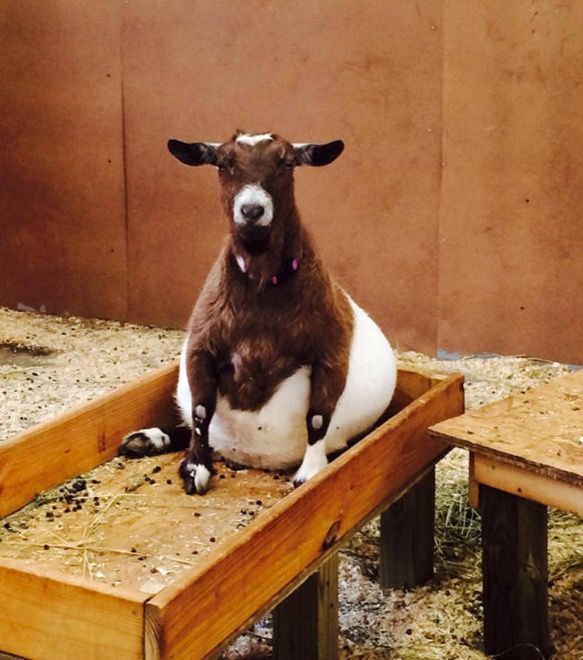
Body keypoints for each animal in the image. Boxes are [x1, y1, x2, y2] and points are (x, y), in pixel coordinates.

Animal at [121, 131, 400, 496]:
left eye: (287, 163)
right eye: (223, 164)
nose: (252, 210)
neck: (261, 289)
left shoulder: (331, 350)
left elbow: (318, 418)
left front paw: (310, 474)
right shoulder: (201, 345)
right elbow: (200, 412)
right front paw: (195, 468)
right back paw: (147, 439)